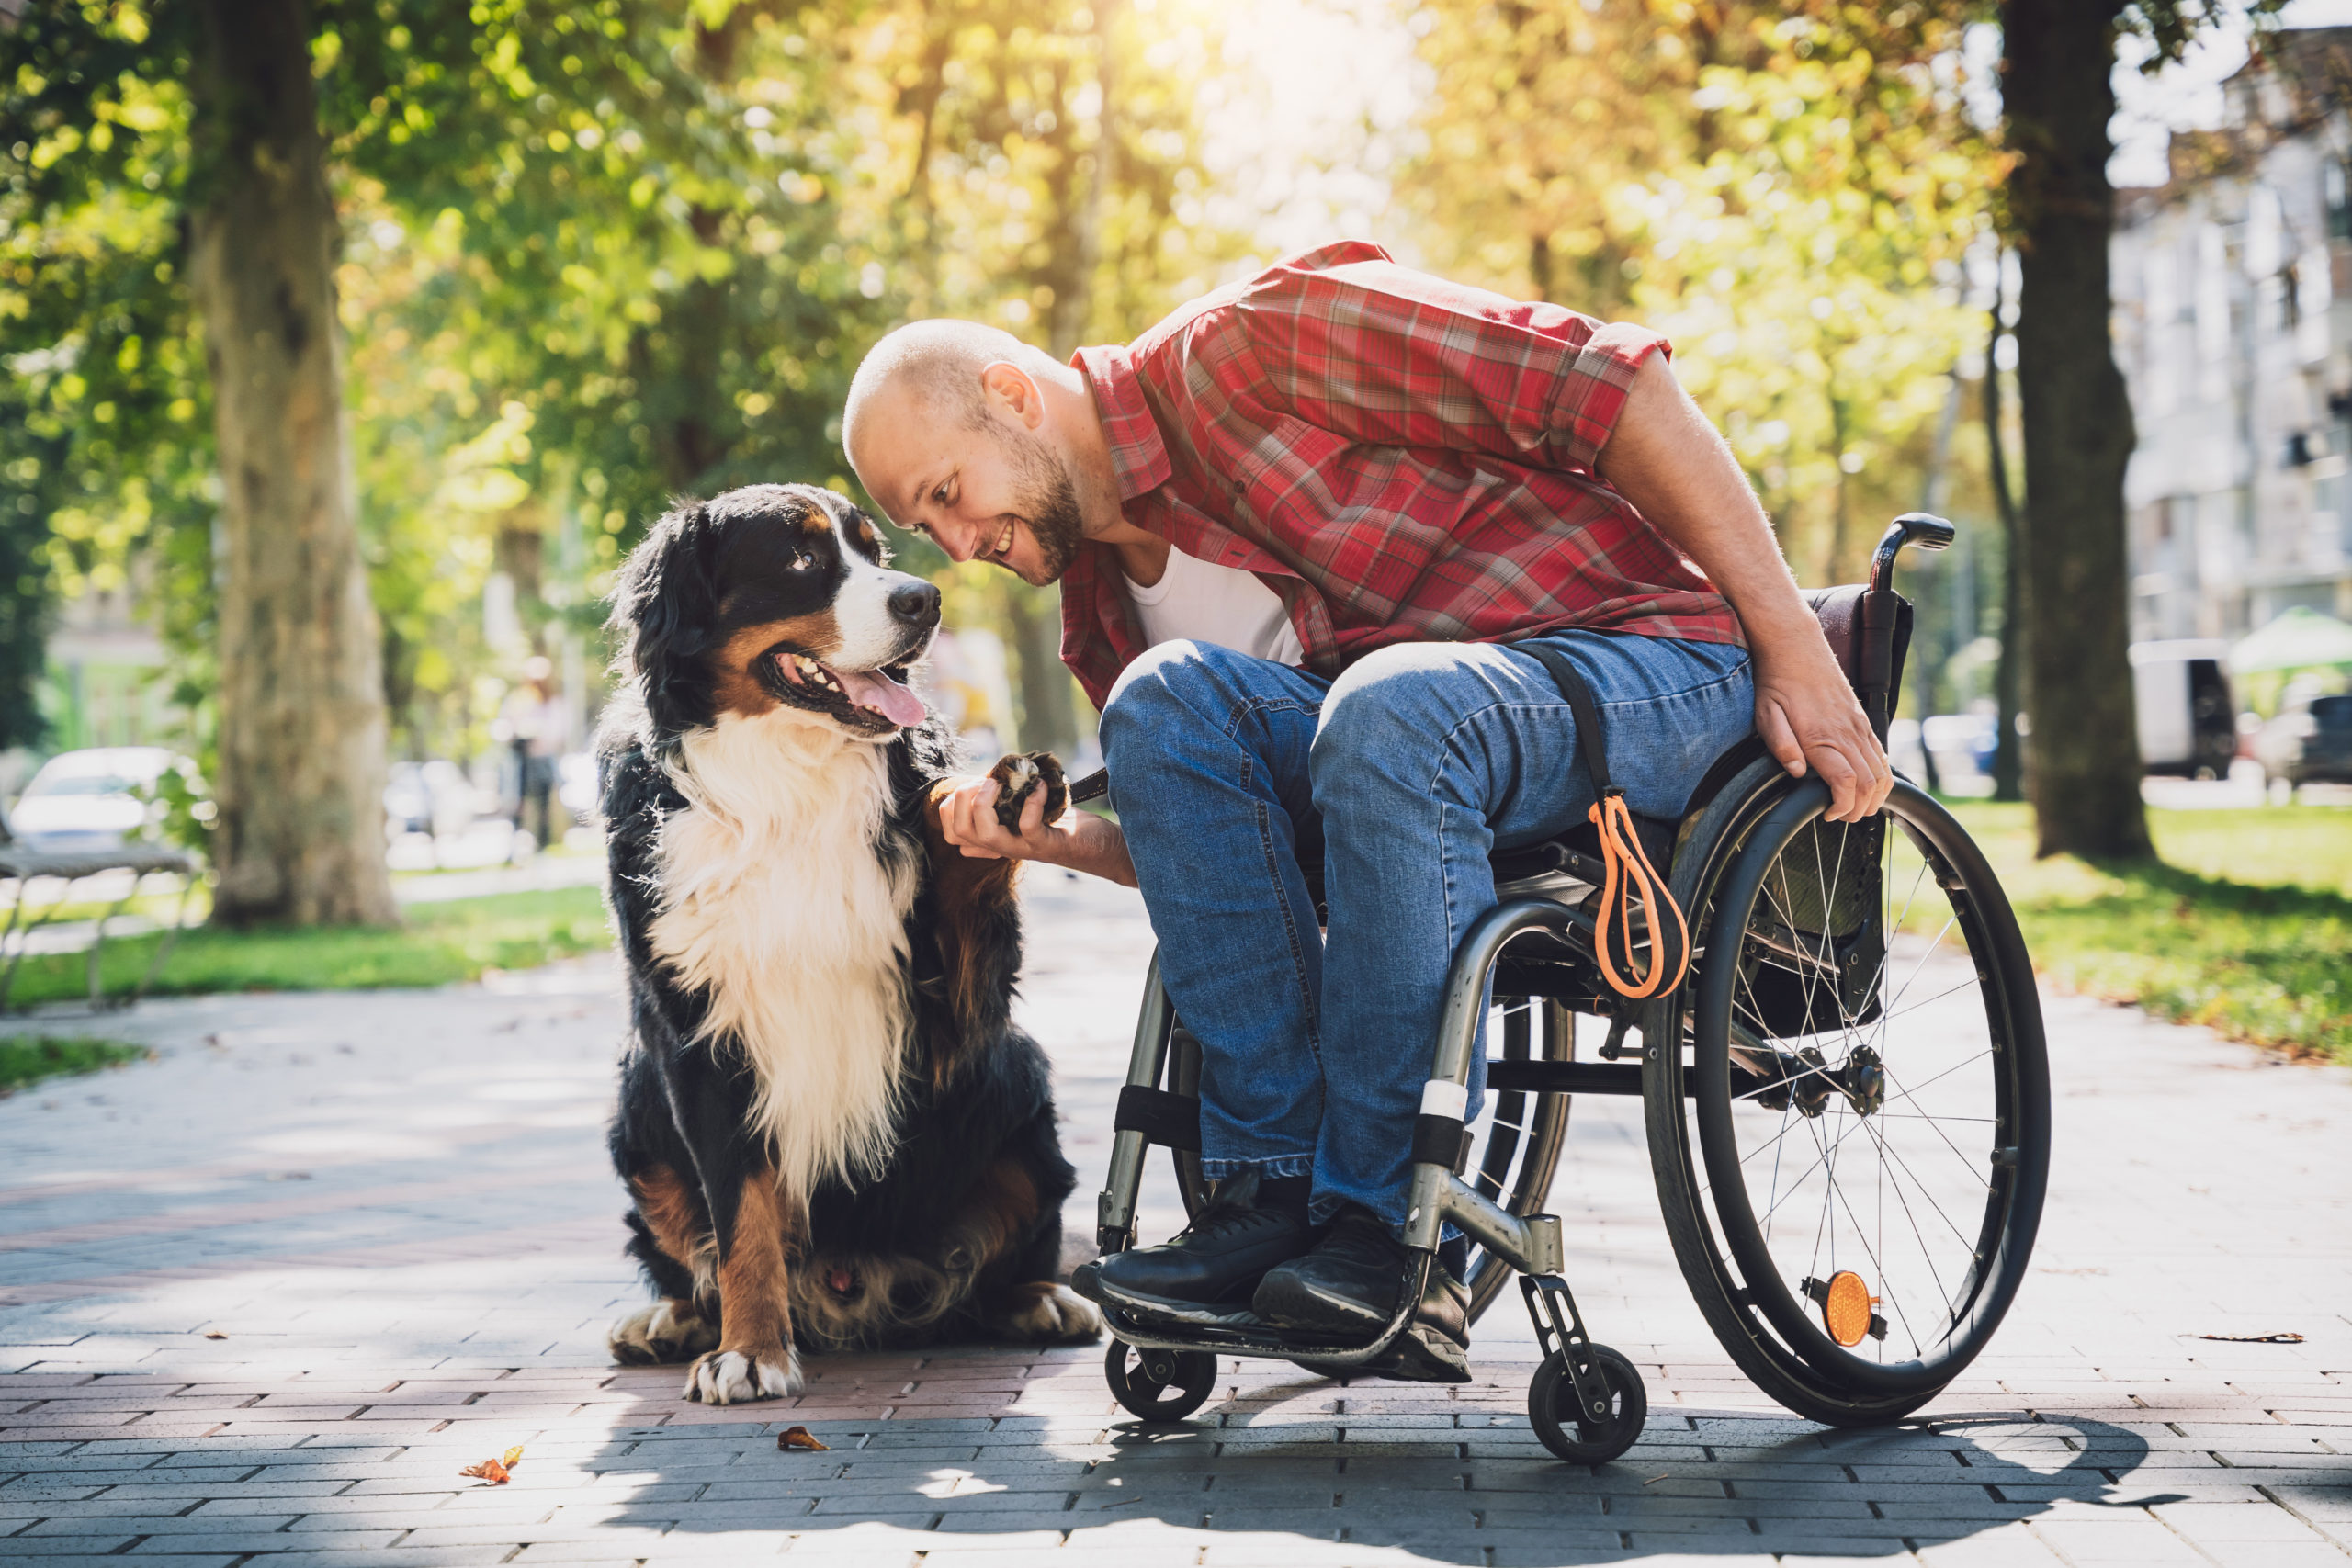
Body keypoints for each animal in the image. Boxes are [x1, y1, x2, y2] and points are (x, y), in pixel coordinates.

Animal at [593, 484, 1095, 1401]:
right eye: (800, 559)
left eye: (874, 549)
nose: (924, 600)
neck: (788, 782)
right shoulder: (698, 1031)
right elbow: (741, 1213)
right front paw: (750, 1349)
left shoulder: (949, 1010)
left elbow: (963, 863)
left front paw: (989, 800)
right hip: (636, 1100)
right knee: (689, 1252)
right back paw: (673, 1318)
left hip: (1017, 1078)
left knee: (1019, 1244)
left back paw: (1041, 1299)